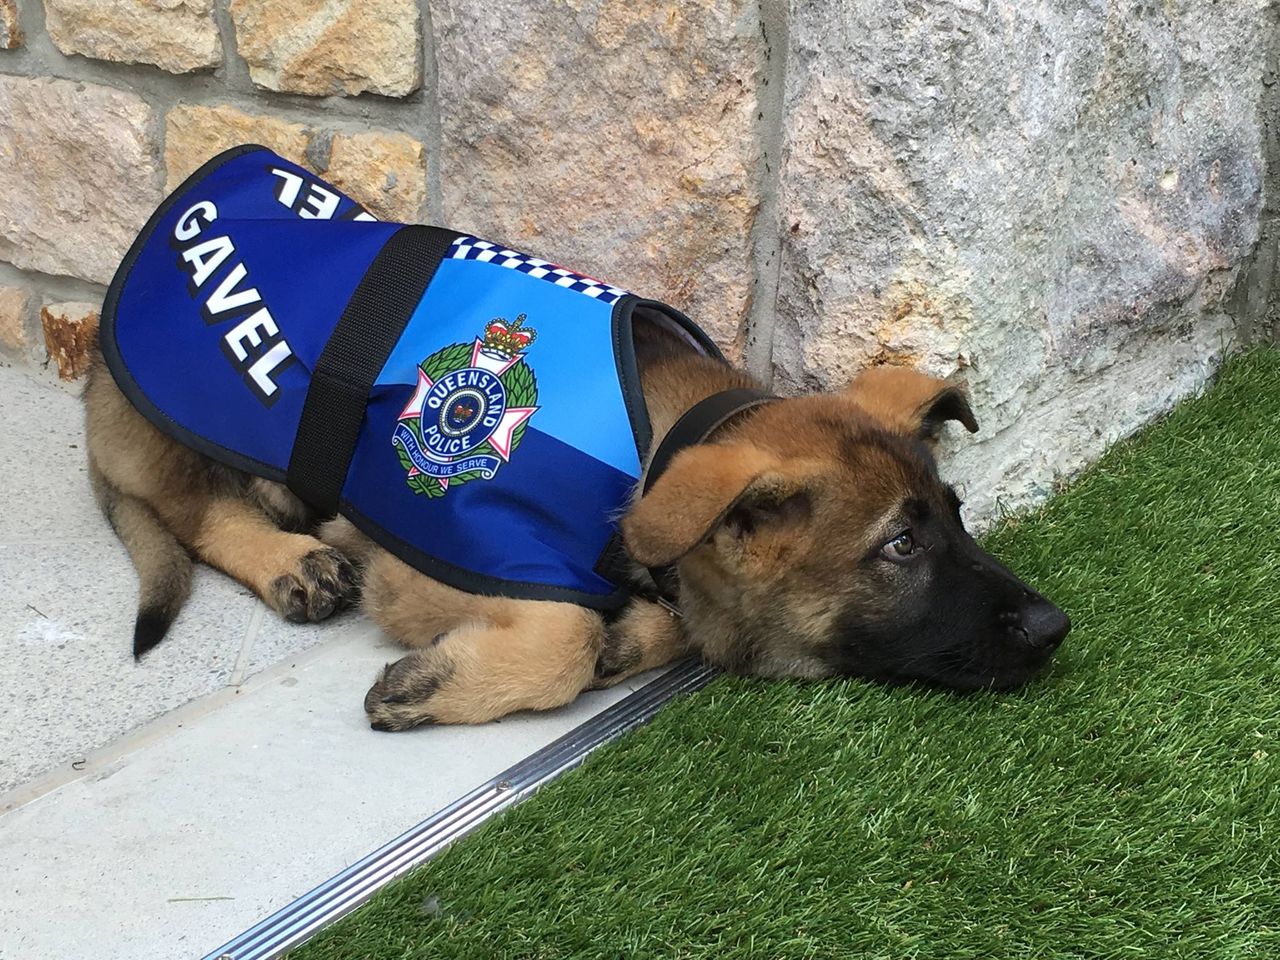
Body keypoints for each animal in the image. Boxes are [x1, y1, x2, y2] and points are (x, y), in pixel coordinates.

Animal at [82, 316, 1070, 727]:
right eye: (900, 545)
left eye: (957, 519)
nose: (1057, 626)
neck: (654, 446)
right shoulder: (425, 563)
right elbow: (562, 641)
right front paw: (434, 685)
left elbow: (646, 623)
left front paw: (629, 639)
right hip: (194, 431)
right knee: (198, 510)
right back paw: (292, 559)